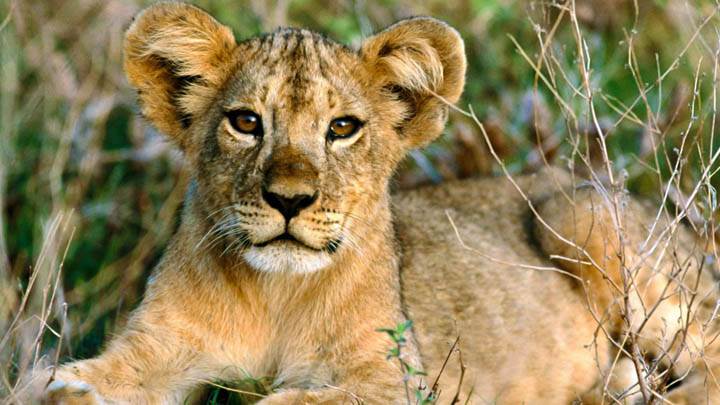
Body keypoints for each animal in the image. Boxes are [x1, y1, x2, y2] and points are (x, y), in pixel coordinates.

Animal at [19, 2, 719, 404]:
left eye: (342, 128)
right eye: (246, 122)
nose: (290, 200)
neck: (276, 296)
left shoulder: (400, 378)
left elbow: (303, 400)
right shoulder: (157, 345)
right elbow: (70, 376)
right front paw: (63, 391)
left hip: (582, 210)